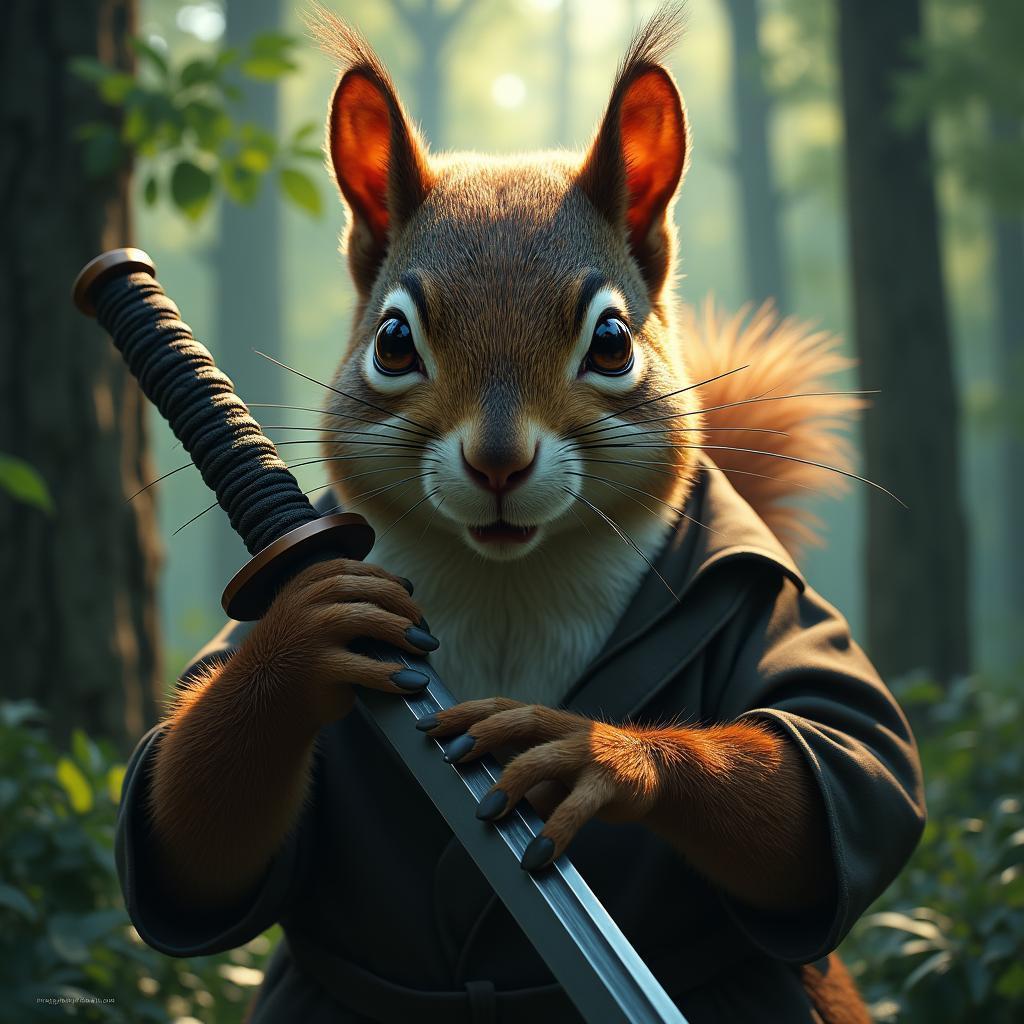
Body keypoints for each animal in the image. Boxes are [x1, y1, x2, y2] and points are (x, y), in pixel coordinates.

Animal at [136, 8, 910, 1024]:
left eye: (614, 341)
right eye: (392, 341)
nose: (498, 462)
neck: (508, 586)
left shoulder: (775, 614)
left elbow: (851, 762)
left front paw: (595, 754)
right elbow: (192, 838)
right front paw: (305, 635)